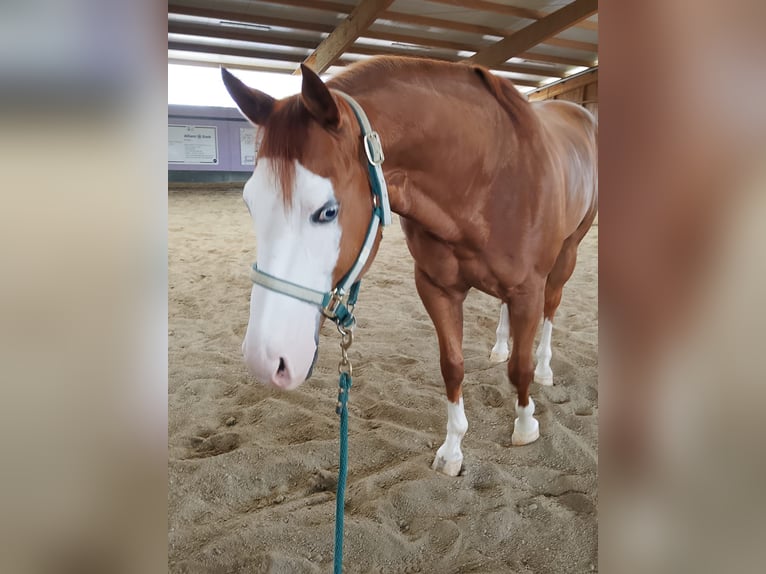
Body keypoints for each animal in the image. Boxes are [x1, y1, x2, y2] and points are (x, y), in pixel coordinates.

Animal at [222, 56, 597, 476]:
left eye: (328, 211)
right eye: (250, 203)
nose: (265, 360)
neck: (485, 178)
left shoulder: (527, 289)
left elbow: (521, 366)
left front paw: (526, 423)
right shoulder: (437, 287)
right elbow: (452, 365)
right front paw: (452, 449)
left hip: (566, 255)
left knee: (551, 309)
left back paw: (546, 368)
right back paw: (500, 345)